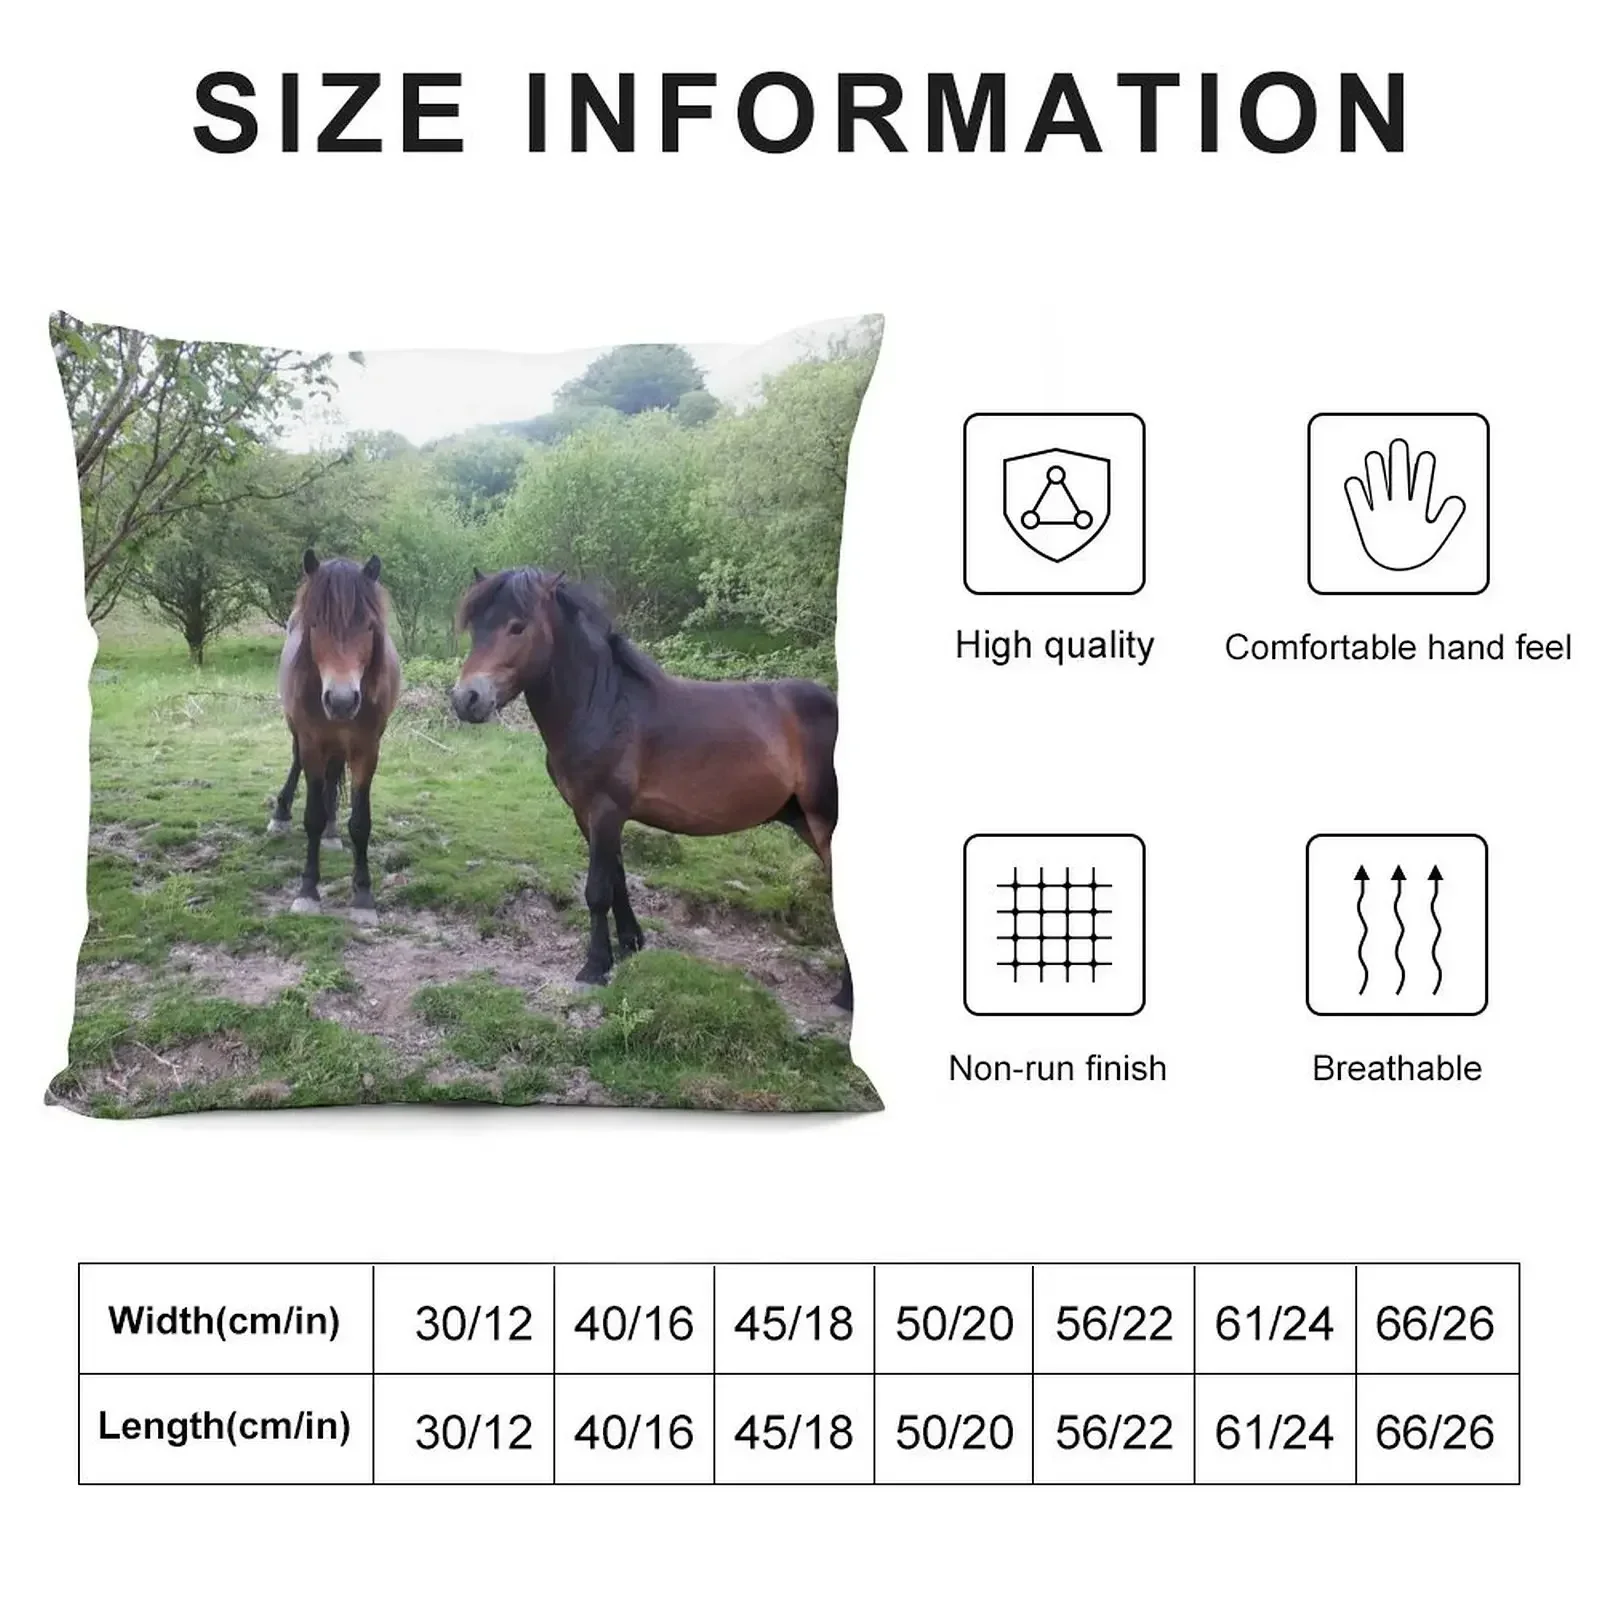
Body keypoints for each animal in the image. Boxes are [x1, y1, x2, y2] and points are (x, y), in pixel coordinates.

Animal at [273, 548, 402, 925]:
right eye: (315, 623)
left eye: (369, 626)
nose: (342, 701)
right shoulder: (312, 743)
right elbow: (311, 816)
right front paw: (307, 891)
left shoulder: (366, 749)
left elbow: (360, 823)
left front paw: (363, 895)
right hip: (299, 731)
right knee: (296, 762)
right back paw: (281, 814)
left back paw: (332, 831)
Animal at [451, 568, 851, 1008]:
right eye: (475, 626)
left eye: (517, 626)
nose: (466, 699)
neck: (604, 706)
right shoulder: (589, 813)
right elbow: (616, 879)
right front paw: (629, 945)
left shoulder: (606, 809)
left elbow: (597, 890)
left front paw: (594, 967)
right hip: (804, 820)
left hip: (825, 821)